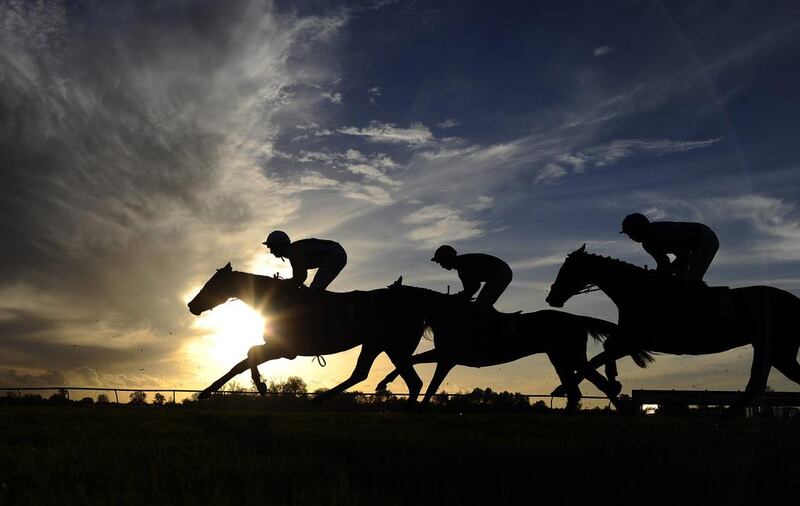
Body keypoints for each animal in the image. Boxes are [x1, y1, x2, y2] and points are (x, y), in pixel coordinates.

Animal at [188, 264, 428, 404]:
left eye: (212, 284)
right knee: (363, 374)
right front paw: (209, 391)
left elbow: (248, 355)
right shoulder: (279, 349)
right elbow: (243, 361)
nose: (191, 305)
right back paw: (321, 399)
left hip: (394, 346)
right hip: (377, 344)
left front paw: (260, 385)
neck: (279, 301)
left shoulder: (284, 350)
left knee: (412, 382)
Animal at [376, 280, 624, 412]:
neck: (448, 314)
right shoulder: (446, 357)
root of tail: (578, 319)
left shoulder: (447, 356)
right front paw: (386, 385)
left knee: (599, 385)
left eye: (388, 299)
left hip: (571, 356)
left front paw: (384, 384)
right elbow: (421, 370)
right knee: (580, 390)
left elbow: (425, 376)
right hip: (560, 359)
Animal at [548, 246, 800, 416]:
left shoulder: (641, 339)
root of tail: (796, 301)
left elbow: (601, 354)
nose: (551, 297)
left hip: (778, 348)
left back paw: (724, 416)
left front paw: (566, 387)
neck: (638, 291)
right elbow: (604, 352)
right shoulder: (631, 339)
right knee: (759, 382)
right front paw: (611, 381)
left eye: (566, 270)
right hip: (775, 350)